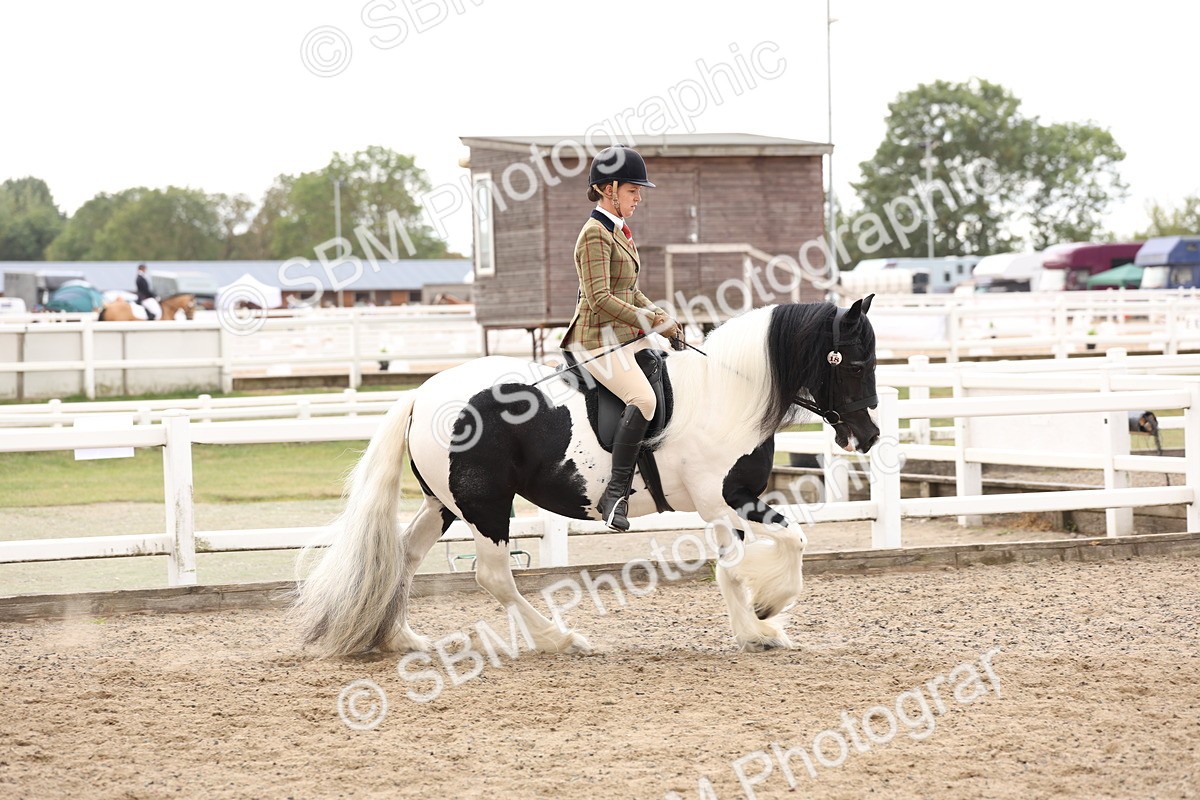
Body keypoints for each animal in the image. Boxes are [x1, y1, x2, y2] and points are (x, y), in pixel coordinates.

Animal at [293, 296, 880, 656]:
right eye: (852, 364)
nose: (868, 437)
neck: (727, 391)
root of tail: (422, 394)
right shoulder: (723, 500)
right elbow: (769, 551)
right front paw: (764, 614)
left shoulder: (730, 503)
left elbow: (756, 556)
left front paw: (758, 623)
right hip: (487, 507)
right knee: (494, 577)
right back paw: (560, 640)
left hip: (445, 505)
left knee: (405, 555)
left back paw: (403, 639)